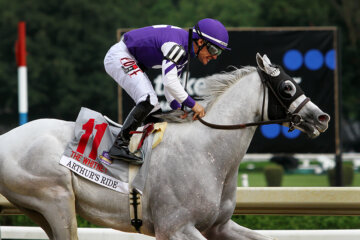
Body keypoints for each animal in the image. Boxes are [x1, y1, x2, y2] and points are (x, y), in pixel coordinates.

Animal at [0, 54, 330, 240]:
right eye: (287, 87)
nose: (322, 117)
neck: (210, 152)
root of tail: (7, 137)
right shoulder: (176, 227)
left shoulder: (218, 227)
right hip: (55, 200)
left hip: (39, 209)